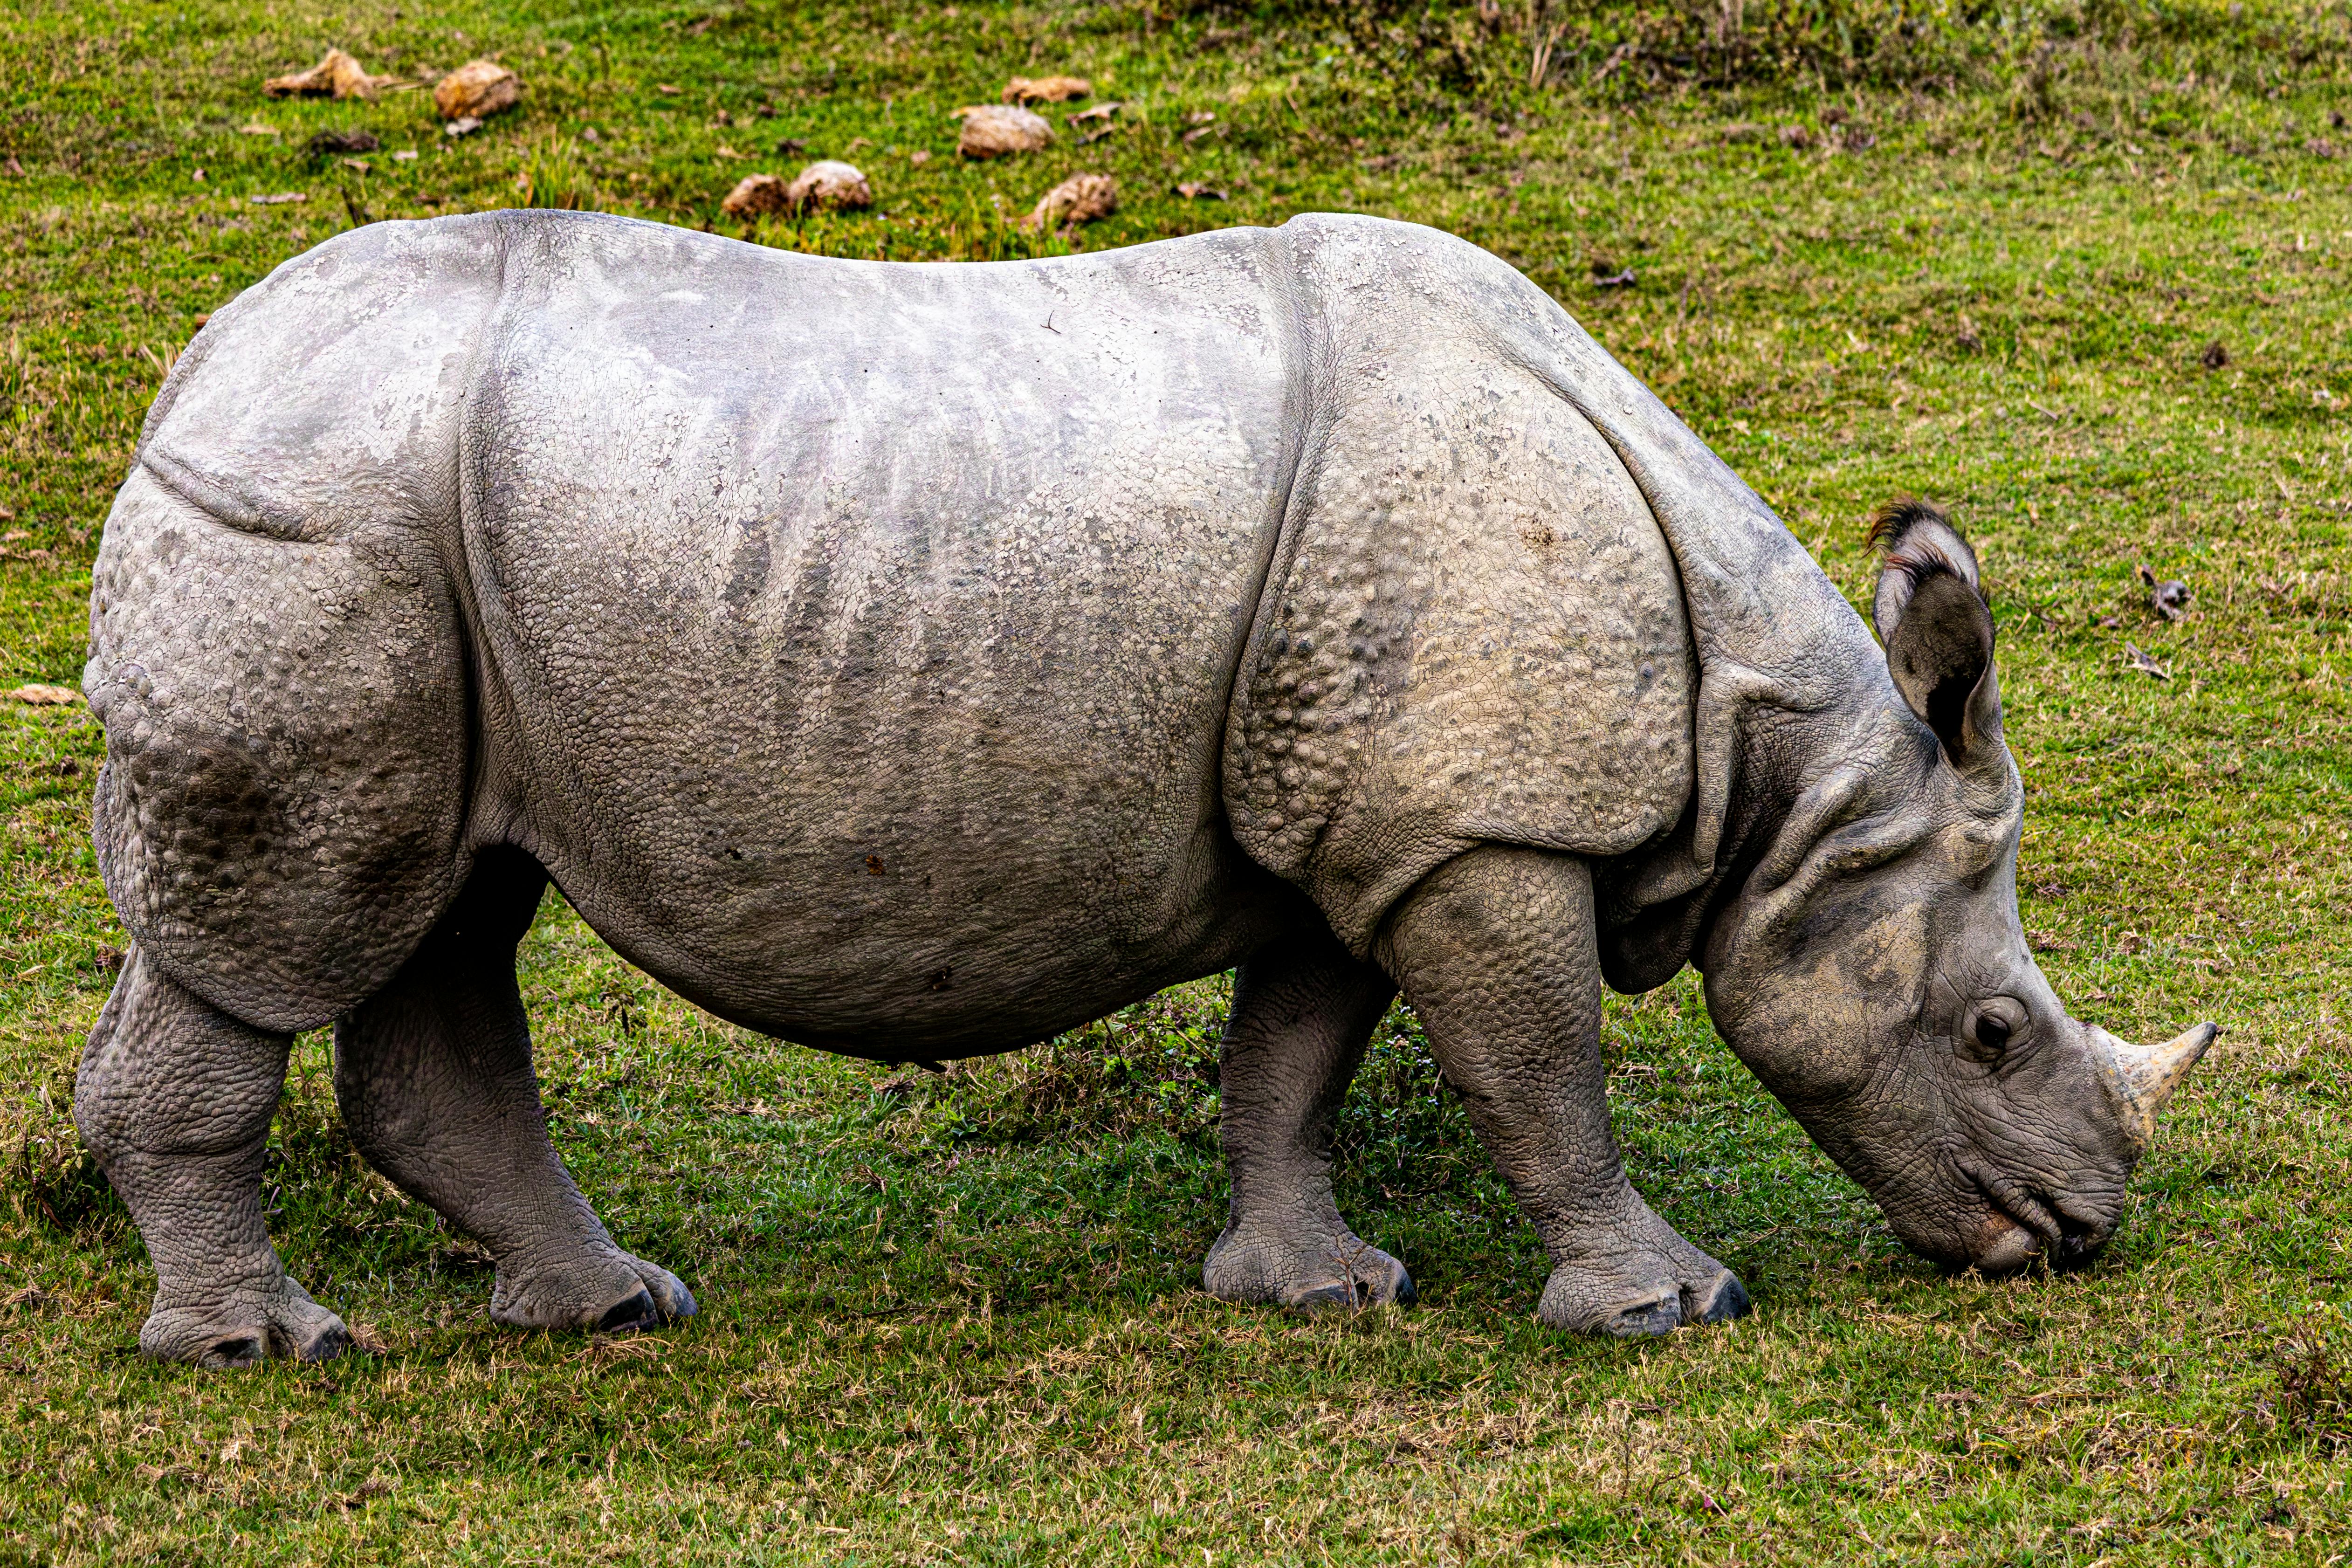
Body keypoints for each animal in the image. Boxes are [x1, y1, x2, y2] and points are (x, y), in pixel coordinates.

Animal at [75, 210, 2214, 1367]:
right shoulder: (1475, 826)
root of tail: (195, 365)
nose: (2078, 1233)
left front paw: (1315, 1290)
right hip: (315, 515)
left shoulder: (1366, 816)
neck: (1778, 775)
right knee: (279, 931)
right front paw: (1668, 1307)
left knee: (450, 908)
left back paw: (607, 1306)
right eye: (1995, 1030)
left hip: (422, 554)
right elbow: (1538, 1068)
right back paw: (271, 1346)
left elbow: (1295, 1053)